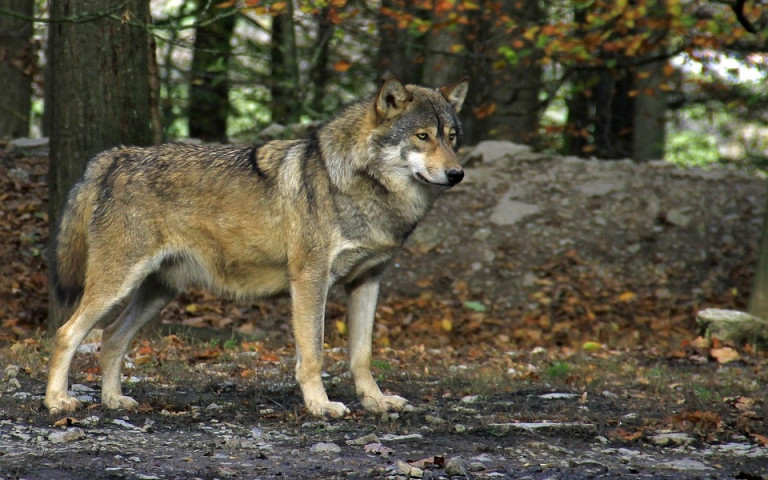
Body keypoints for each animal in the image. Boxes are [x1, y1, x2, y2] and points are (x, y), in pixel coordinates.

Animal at [48, 77, 472, 418]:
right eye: (422, 136)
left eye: (452, 137)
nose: (457, 174)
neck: (361, 186)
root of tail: (117, 156)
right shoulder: (310, 280)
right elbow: (314, 355)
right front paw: (320, 405)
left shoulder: (366, 282)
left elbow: (362, 356)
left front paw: (376, 401)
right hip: (117, 286)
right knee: (67, 333)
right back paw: (57, 401)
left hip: (158, 293)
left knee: (110, 338)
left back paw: (113, 400)